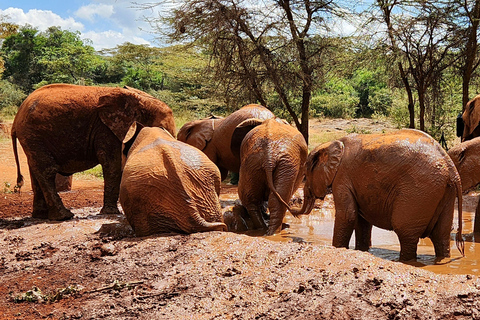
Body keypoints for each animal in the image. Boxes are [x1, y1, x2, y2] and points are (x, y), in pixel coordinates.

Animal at [11, 84, 176, 221]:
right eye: (161, 128)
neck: (140, 99)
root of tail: (16, 119)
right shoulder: (105, 128)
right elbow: (111, 162)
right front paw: (110, 213)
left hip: (32, 138)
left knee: (35, 170)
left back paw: (40, 216)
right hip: (33, 134)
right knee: (47, 171)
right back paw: (64, 216)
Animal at [290, 129, 464, 262]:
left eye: (305, 175)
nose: (293, 210)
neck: (333, 143)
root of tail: (452, 168)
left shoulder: (342, 177)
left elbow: (347, 215)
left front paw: (338, 248)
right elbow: (361, 221)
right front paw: (361, 251)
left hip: (419, 191)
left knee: (405, 231)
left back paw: (404, 261)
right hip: (444, 193)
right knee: (441, 235)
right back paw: (442, 260)